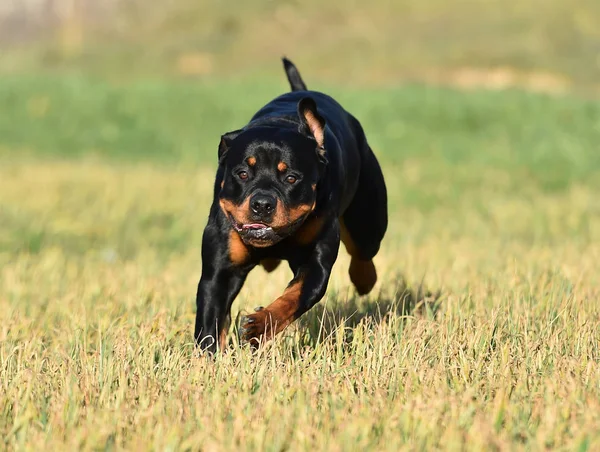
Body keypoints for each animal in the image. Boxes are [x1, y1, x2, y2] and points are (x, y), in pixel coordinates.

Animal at [195, 57, 386, 354]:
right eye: (242, 174)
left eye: (291, 178)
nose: (262, 204)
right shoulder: (220, 269)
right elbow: (209, 325)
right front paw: (206, 359)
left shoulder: (315, 263)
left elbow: (292, 298)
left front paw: (260, 325)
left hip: (368, 221)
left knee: (363, 251)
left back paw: (364, 280)